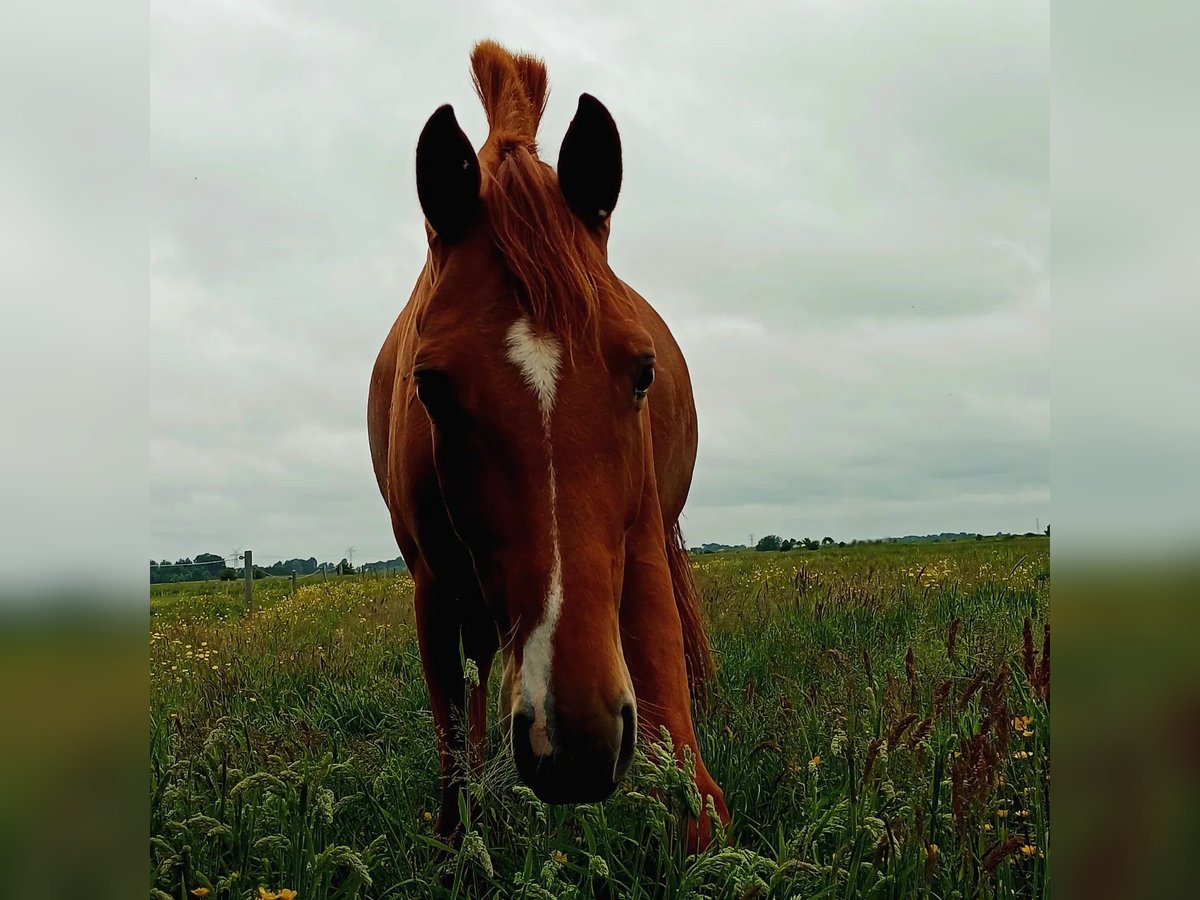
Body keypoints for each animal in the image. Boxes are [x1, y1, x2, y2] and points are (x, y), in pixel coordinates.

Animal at [364, 38, 724, 849]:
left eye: (642, 370)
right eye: (430, 387)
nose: (577, 744)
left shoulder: (641, 549)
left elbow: (682, 748)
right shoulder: (432, 592)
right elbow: (454, 761)